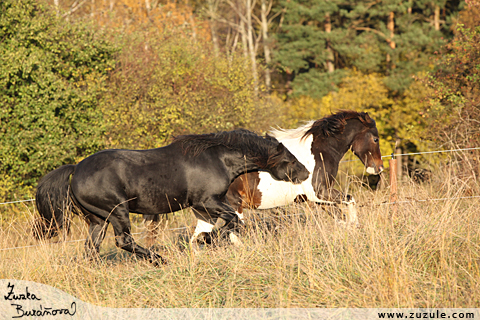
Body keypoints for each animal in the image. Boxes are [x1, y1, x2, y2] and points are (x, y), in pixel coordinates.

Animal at [35, 129, 310, 266]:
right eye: (288, 158)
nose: (305, 173)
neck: (217, 158)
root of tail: (76, 169)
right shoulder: (206, 201)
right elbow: (233, 222)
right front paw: (208, 242)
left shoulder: (205, 208)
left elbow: (217, 227)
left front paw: (203, 244)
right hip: (117, 212)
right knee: (123, 241)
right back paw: (159, 260)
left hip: (97, 219)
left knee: (91, 249)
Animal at [189, 111, 384, 241]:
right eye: (375, 139)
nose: (378, 168)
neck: (318, 152)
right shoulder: (320, 193)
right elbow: (351, 200)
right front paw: (355, 226)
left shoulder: (319, 198)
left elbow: (339, 216)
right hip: (233, 206)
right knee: (230, 233)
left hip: (209, 212)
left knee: (199, 237)